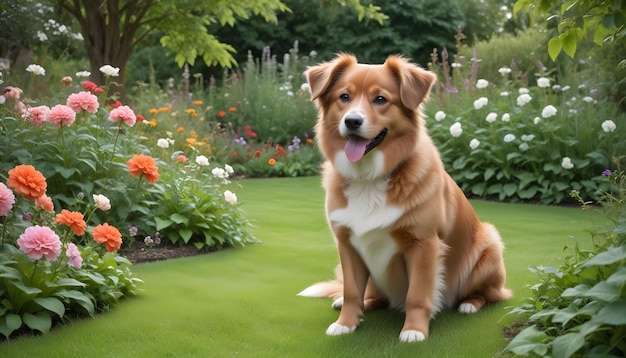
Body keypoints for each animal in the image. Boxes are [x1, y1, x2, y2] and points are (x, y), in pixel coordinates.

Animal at [298, 53, 512, 342]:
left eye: (380, 99)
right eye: (344, 97)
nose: (352, 121)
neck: (369, 177)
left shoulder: (423, 244)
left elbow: (417, 295)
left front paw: (414, 330)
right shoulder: (347, 243)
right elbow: (352, 291)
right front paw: (346, 323)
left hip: (489, 245)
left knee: (490, 294)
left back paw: (469, 303)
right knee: (371, 295)